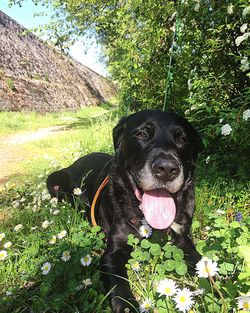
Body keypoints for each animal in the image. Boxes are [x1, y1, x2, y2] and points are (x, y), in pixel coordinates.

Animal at [47, 109, 203, 312]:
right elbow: (119, 287)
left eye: (182, 139)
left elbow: (204, 264)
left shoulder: (182, 239)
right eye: (141, 134)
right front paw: (128, 305)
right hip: (54, 181)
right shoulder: (112, 253)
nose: (167, 169)